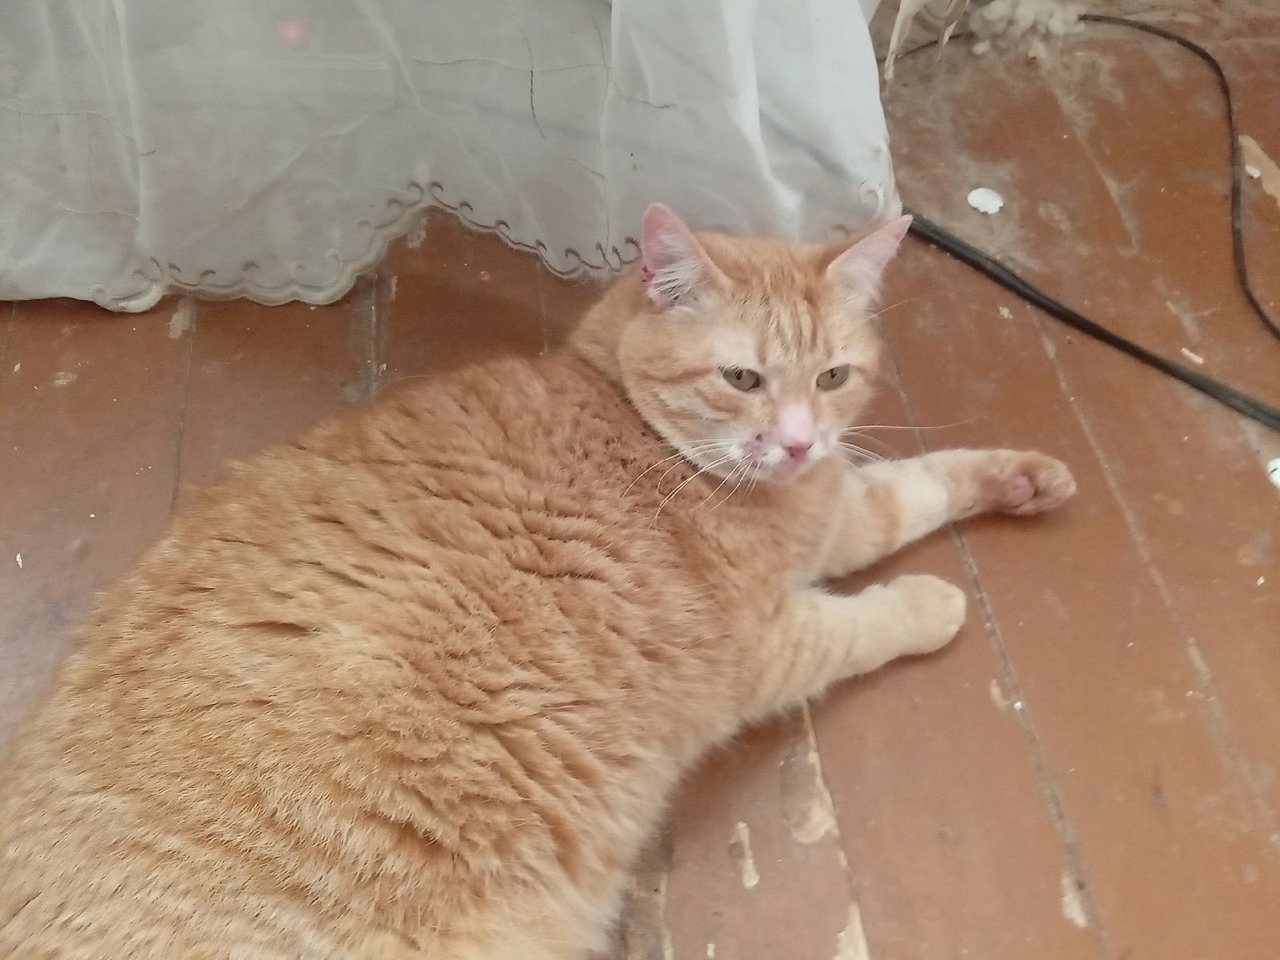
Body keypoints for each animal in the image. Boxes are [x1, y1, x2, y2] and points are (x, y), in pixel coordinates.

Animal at [0, 203, 1075, 960]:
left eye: (835, 378)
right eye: (742, 380)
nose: (799, 440)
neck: (627, 415)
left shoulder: (838, 505)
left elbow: (918, 483)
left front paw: (1026, 478)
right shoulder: (770, 643)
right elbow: (871, 614)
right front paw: (936, 601)